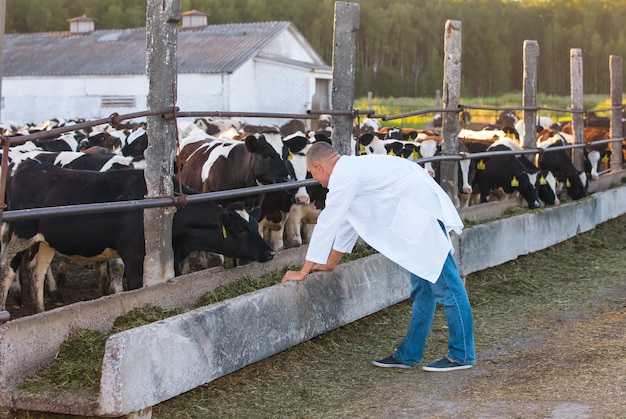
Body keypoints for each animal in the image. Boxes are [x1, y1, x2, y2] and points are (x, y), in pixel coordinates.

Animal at [0, 159, 274, 314]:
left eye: (253, 225)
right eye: (241, 229)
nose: (270, 252)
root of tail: (28, 166)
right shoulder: (134, 258)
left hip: (47, 240)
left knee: (37, 269)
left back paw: (40, 310)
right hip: (19, 233)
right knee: (7, 269)